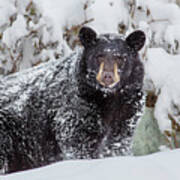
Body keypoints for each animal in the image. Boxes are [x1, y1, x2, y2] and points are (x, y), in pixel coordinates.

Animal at [0, 26, 145, 173]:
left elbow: (118, 142)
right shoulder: (77, 107)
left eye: (120, 58)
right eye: (99, 56)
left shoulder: (128, 109)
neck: (108, 97)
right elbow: (78, 142)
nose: (107, 76)